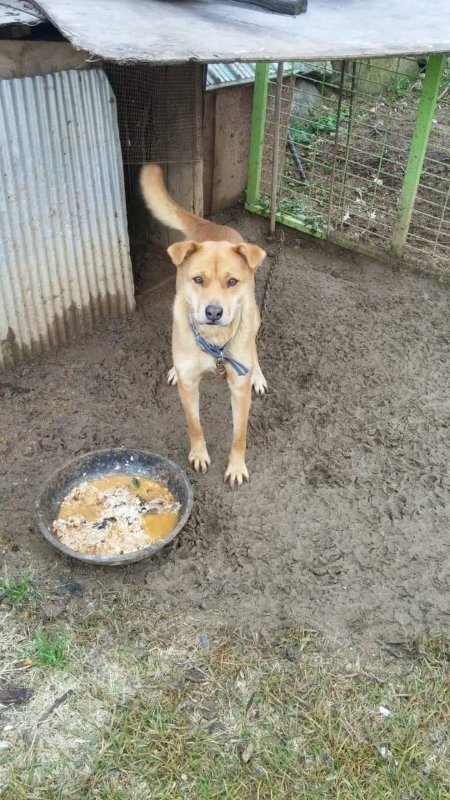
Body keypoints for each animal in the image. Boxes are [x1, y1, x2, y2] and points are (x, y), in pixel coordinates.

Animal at [140, 164, 267, 486]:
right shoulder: (189, 386)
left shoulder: (239, 390)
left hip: (254, 318)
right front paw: (198, 454)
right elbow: (194, 425)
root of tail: (210, 226)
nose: (213, 312)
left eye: (232, 281)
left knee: (255, 347)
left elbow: (239, 435)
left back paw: (258, 374)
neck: (214, 342)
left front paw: (236, 467)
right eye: (198, 279)